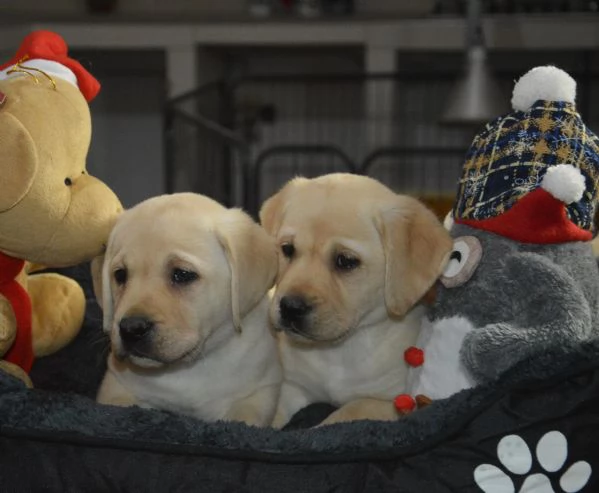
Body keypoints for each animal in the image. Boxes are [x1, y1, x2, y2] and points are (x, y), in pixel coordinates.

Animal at [92, 193, 282, 426]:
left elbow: (243, 418)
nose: (131, 328)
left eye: (182, 274)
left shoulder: (260, 393)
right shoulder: (116, 385)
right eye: (120, 275)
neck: (185, 369)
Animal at [260, 171, 452, 424]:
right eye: (287, 249)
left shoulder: (395, 401)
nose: (290, 307)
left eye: (345, 261)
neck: (339, 351)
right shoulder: (294, 389)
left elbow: (352, 409)